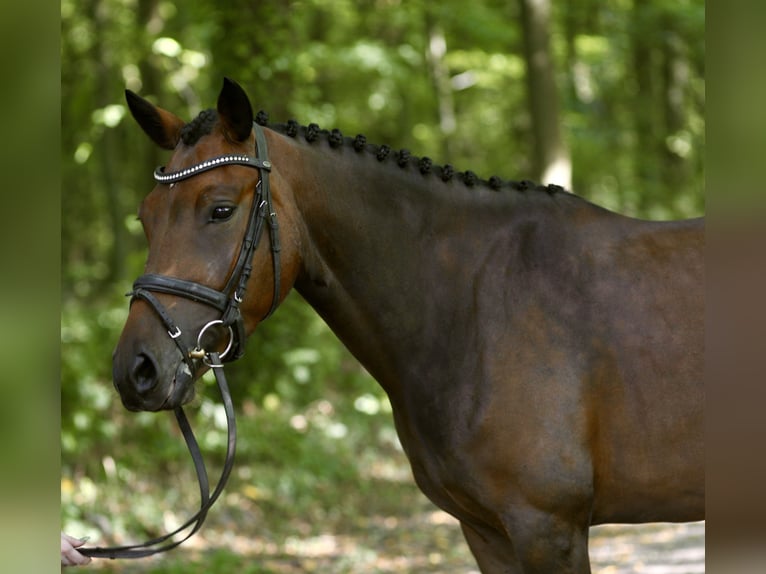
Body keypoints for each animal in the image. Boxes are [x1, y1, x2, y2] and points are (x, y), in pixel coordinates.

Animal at [111, 79, 704, 572]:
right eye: (144, 217)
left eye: (220, 210)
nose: (135, 370)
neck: (472, 308)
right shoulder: (486, 531)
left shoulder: (548, 528)